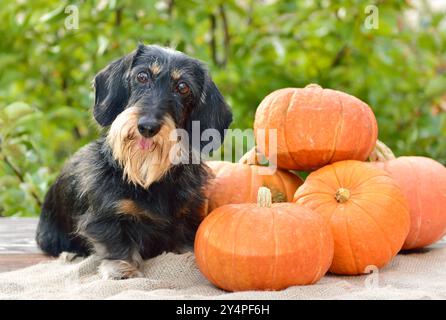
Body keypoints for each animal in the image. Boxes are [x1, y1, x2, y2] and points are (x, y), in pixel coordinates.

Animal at [34, 43, 233, 278]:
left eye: (183, 87)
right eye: (142, 76)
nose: (147, 127)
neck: (148, 178)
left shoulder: (187, 216)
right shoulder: (105, 217)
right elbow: (116, 241)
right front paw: (122, 269)